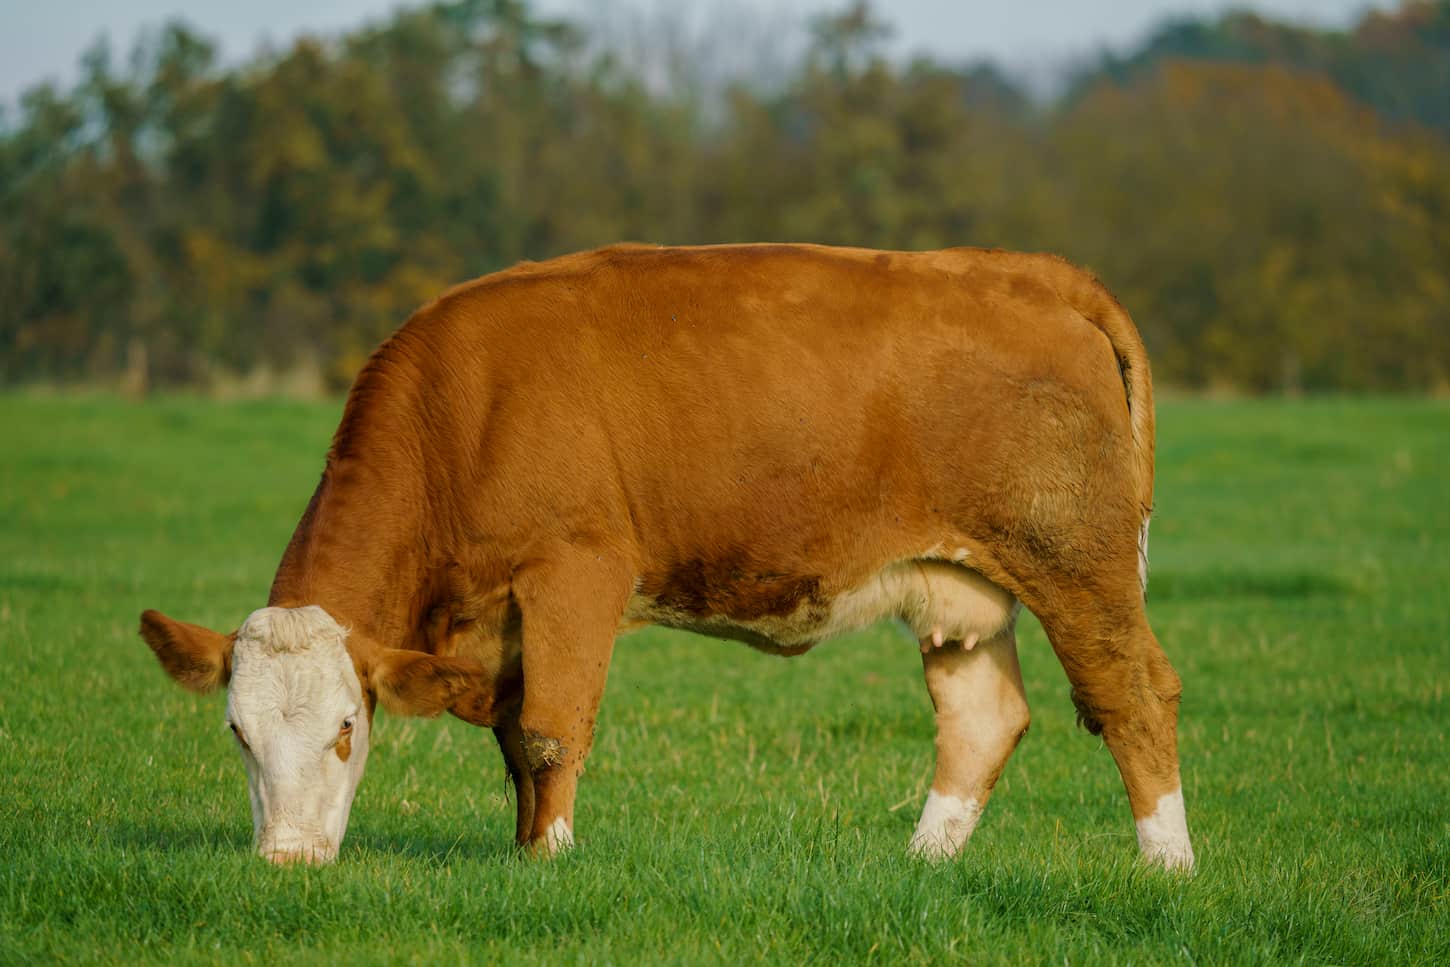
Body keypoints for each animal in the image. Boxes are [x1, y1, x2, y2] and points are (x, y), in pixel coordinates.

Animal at [138, 243, 1194, 870]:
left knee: (1133, 694)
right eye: (237, 732)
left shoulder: (575, 574)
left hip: (1078, 566)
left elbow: (552, 728)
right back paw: (921, 863)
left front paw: (551, 862)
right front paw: (523, 850)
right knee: (983, 717)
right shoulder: (503, 620)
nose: (286, 860)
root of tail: (1024, 270)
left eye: (347, 729)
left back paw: (1166, 862)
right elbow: (515, 740)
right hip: (961, 586)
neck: (462, 413)